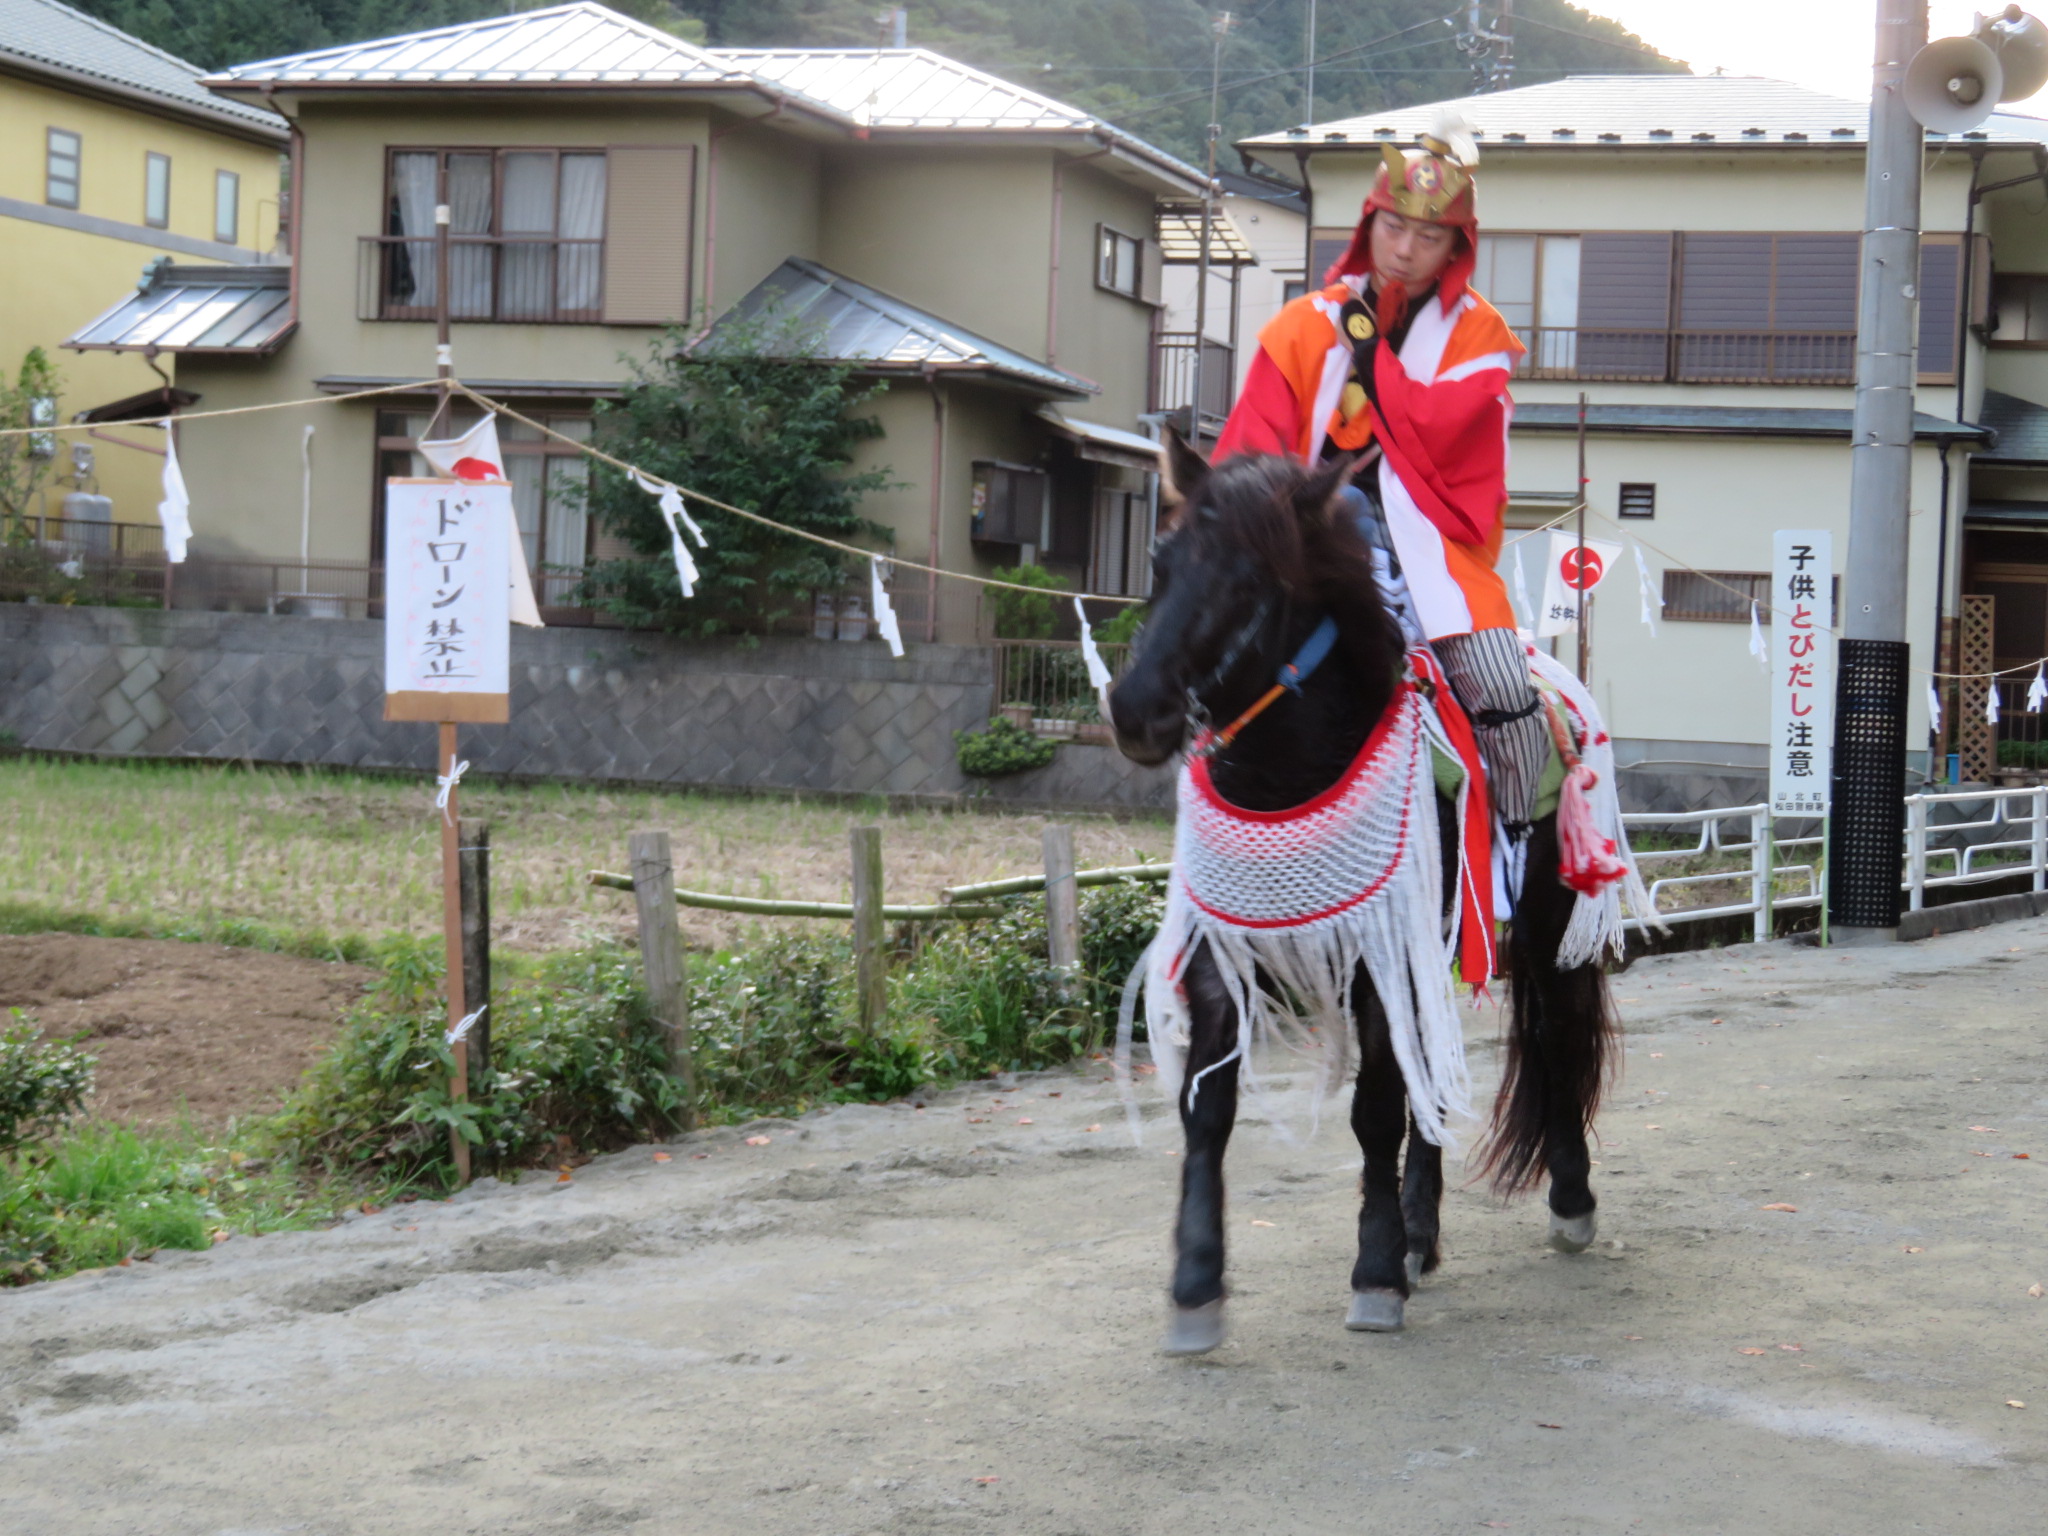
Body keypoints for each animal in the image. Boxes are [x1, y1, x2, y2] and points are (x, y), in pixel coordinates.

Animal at [1114, 438, 1605, 1351]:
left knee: (1556, 1038)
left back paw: (1570, 1200)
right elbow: (1208, 1109)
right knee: (1430, 1078)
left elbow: (1375, 1113)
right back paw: (1420, 1233)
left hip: (1548, 925)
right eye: (1160, 564)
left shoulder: (1381, 955)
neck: (1288, 772)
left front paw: (1373, 1273)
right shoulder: (1221, 953)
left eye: (1250, 581)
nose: (1136, 709)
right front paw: (1196, 1282)